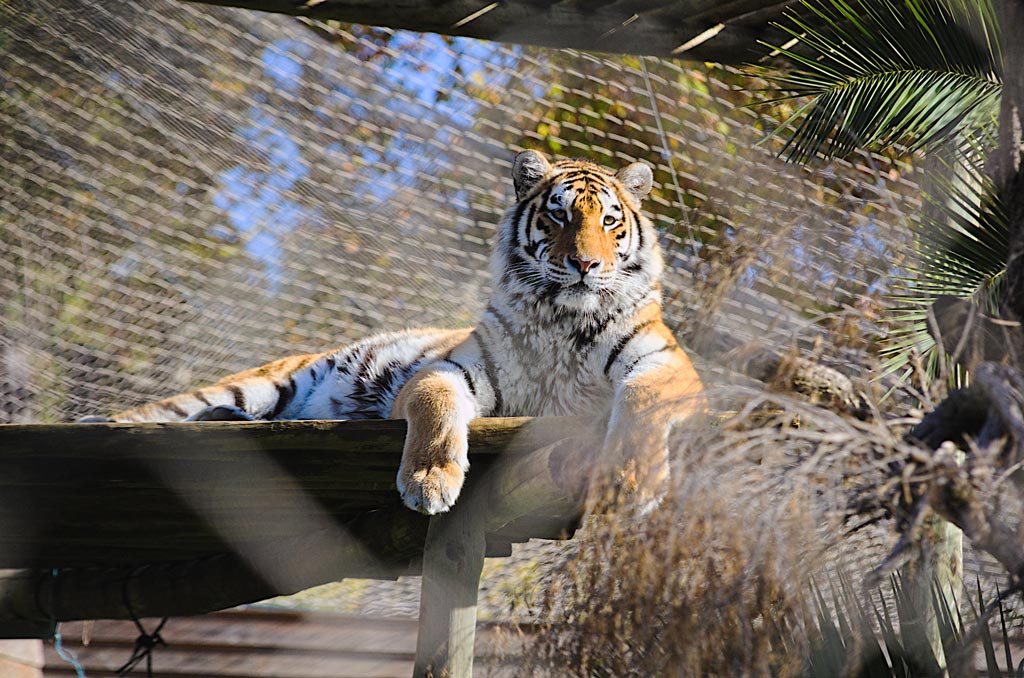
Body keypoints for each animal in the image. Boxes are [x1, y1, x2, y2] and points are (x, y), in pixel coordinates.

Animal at [94, 151, 704, 516]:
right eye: (558, 216)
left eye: (609, 221)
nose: (585, 264)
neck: (561, 317)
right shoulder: (456, 368)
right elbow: (435, 403)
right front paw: (429, 482)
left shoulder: (668, 363)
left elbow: (642, 400)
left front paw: (632, 482)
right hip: (255, 384)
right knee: (145, 416)